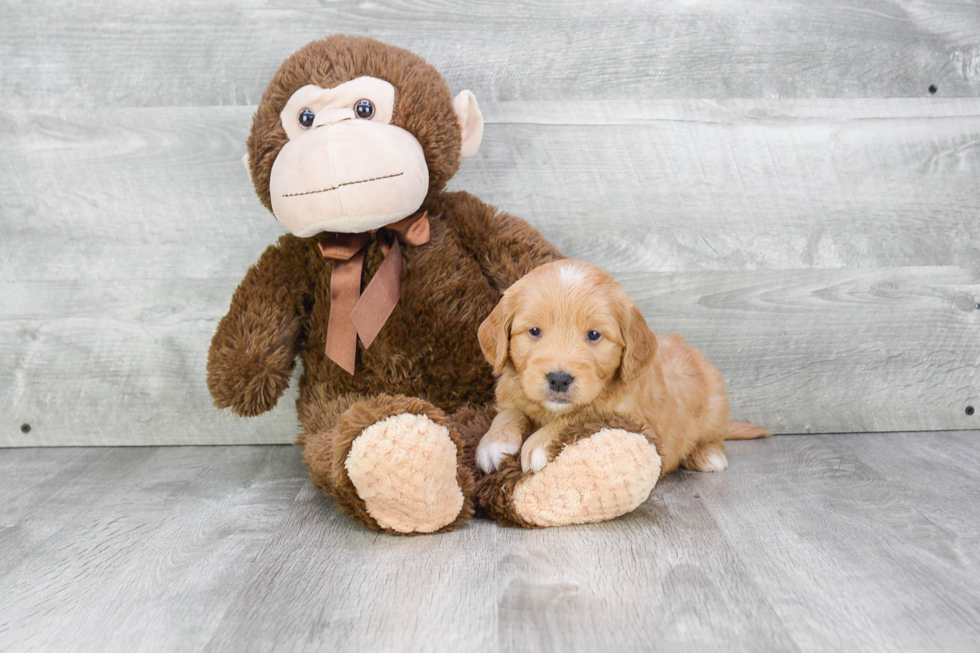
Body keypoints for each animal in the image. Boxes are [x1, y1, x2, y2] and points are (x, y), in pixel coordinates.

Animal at [474, 258, 764, 476]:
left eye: (594, 335)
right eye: (534, 331)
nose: (559, 379)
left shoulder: (633, 419)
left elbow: (582, 415)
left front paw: (538, 444)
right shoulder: (513, 394)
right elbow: (510, 412)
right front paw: (495, 441)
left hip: (715, 405)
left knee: (714, 437)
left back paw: (708, 455)